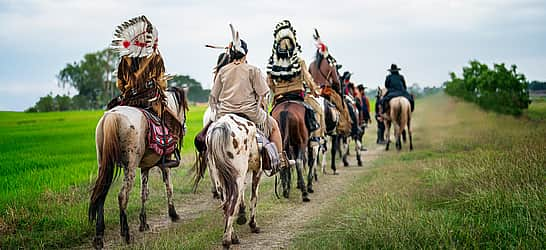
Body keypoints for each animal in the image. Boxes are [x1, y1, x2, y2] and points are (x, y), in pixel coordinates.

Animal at [88, 86, 188, 248]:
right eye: (184, 111)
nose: (184, 127)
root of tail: (112, 116)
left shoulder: (145, 167)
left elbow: (144, 193)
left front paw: (143, 223)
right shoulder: (165, 163)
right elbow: (169, 187)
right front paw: (173, 214)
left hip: (104, 164)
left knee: (101, 195)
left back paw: (99, 237)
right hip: (130, 166)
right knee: (122, 195)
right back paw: (126, 234)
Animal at [194, 114, 262, 249]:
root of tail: (220, 127)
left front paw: (242, 214)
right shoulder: (258, 171)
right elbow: (254, 197)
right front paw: (253, 224)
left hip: (219, 178)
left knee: (226, 205)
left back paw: (232, 237)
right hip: (236, 177)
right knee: (231, 205)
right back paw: (227, 240)